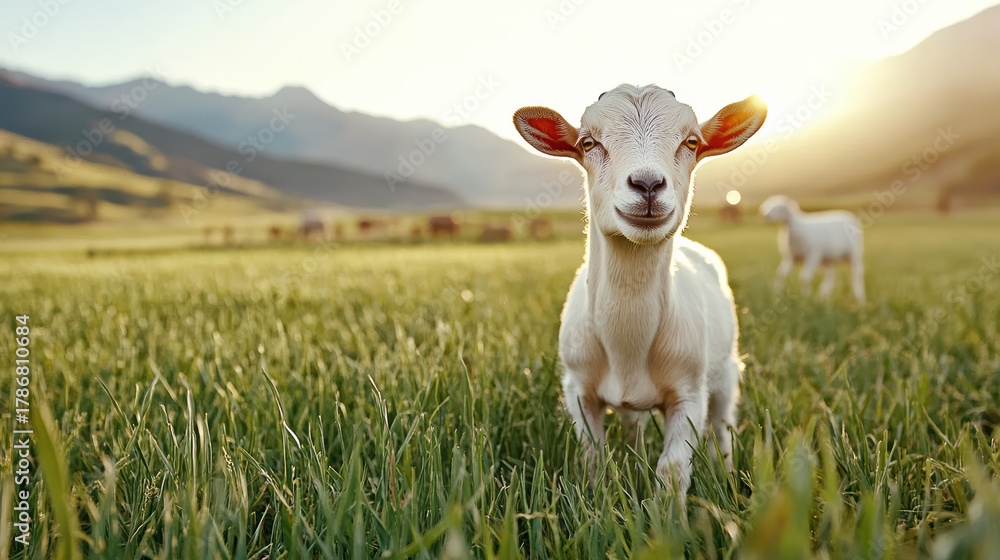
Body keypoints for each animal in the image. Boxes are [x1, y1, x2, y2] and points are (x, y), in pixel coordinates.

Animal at [513, 84, 767, 494]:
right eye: (588, 143)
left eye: (691, 142)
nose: (647, 185)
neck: (627, 343)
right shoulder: (578, 390)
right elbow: (592, 459)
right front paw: (598, 495)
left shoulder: (689, 393)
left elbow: (673, 470)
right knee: (634, 424)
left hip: (726, 371)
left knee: (722, 430)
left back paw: (727, 476)